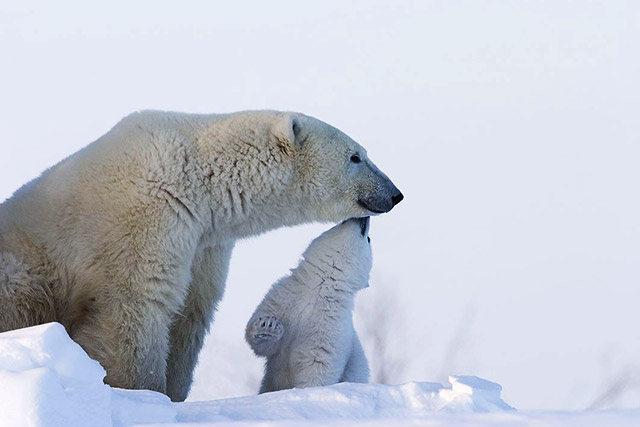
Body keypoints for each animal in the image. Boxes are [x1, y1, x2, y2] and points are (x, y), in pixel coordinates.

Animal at [246, 217, 371, 393]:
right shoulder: (286, 294)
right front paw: (268, 326)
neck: (321, 287)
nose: (364, 217)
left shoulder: (330, 324)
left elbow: (317, 363)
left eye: (369, 239)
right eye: (342, 221)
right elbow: (265, 343)